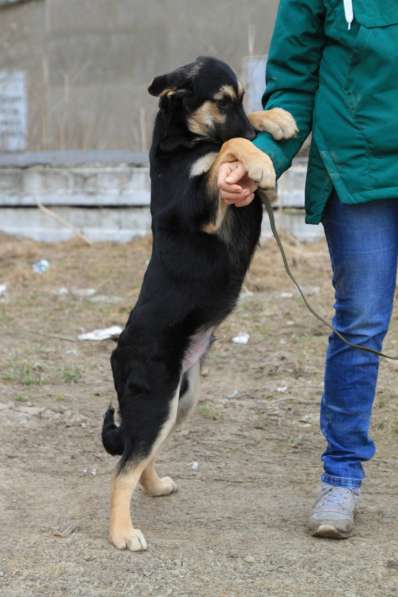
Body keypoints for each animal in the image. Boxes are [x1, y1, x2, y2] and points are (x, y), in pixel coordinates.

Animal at [101, 56, 296, 548]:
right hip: (155, 399)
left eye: (241, 98)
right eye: (222, 101)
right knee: (123, 468)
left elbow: (232, 141)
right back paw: (122, 533)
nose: (258, 136)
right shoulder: (205, 203)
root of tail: (117, 349)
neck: (182, 140)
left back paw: (155, 486)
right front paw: (258, 159)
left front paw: (275, 121)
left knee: (141, 456)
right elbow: (226, 145)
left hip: (181, 398)